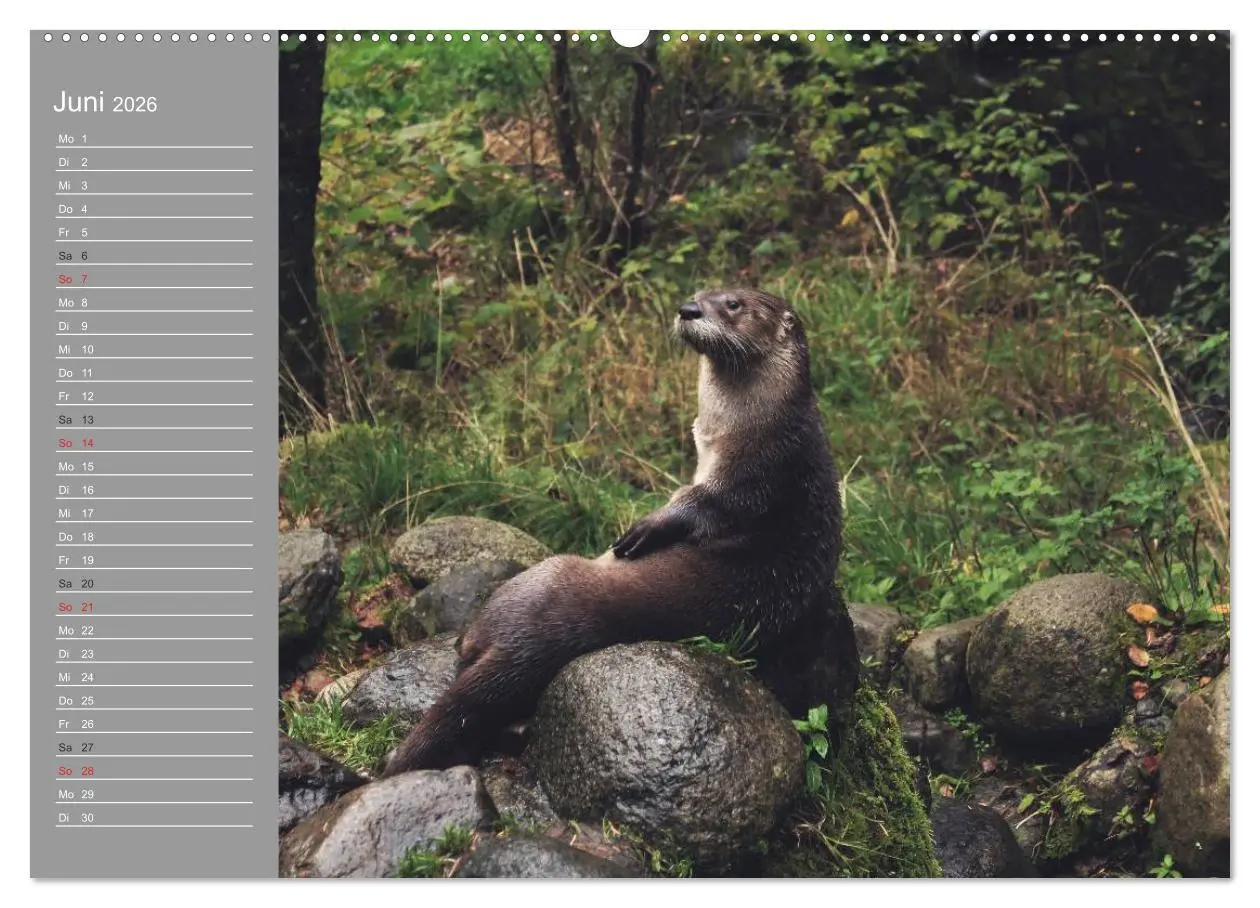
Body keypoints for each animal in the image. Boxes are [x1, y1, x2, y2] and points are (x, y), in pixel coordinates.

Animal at [381, 288, 842, 776]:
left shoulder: (757, 474)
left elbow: (704, 505)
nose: (689, 310)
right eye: (700, 293)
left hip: (536, 580)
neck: (761, 424)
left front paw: (646, 528)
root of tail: (526, 646)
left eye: (733, 304)